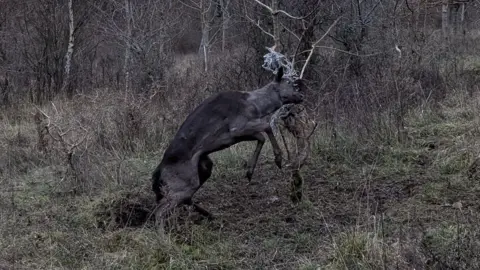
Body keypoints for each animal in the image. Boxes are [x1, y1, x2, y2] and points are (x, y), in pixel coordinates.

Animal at [150, 66, 304, 227]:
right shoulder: (237, 127)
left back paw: (211, 216)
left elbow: (261, 136)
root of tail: (158, 173)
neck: (257, 107)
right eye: (289, 83)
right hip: (184, 181)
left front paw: (250, 171)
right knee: (160, 210)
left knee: (182, 199)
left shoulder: (237, 135)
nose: (301, 96)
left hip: (203, 168)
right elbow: (267, 126)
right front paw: (278, 159)